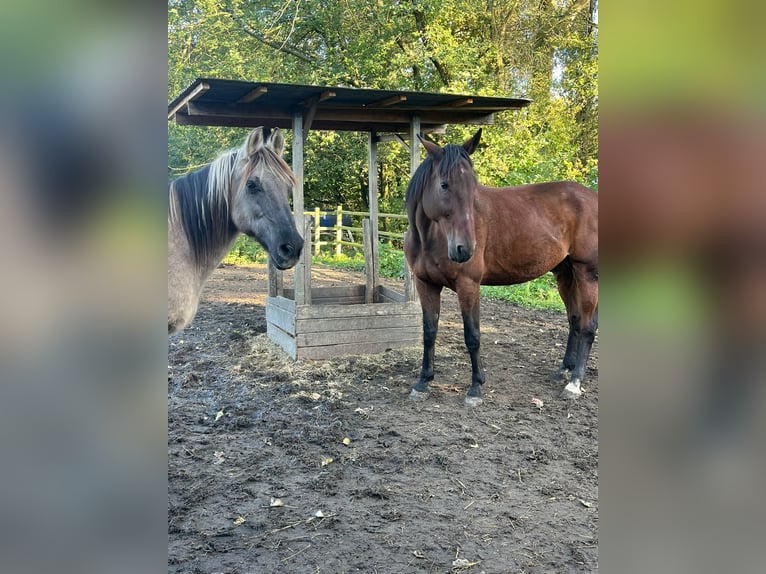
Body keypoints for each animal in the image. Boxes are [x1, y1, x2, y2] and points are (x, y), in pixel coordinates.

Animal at [404, 131, 604, 408]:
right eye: (444, 185)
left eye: (473, 187)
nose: (465, 249)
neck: (430, 238)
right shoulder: (425, 284)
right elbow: (429, 332)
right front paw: (423, 382)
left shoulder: (468, 285)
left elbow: (472, 335)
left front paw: (475, 388)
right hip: (565, 273)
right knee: (574, 319)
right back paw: (564, 369)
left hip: (587, 274)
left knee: (587, 326)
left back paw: (574, 382)